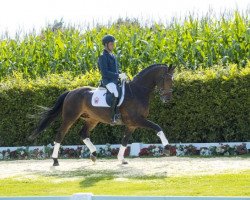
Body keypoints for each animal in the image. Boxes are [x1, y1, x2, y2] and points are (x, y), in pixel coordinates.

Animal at [28, 63, 174, 166]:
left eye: (172, 79)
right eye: (165, 78)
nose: (167, 99)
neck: (137, 92)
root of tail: (71, 92)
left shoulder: (132, 124)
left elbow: (125, 140)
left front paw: (121, 159)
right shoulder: (137, 120)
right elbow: (158, 127)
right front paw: (167, 148)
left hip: (92, 119)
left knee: (83, 133)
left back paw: (93, 154)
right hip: (70, 118)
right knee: (60, 135)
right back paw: (55, 160)